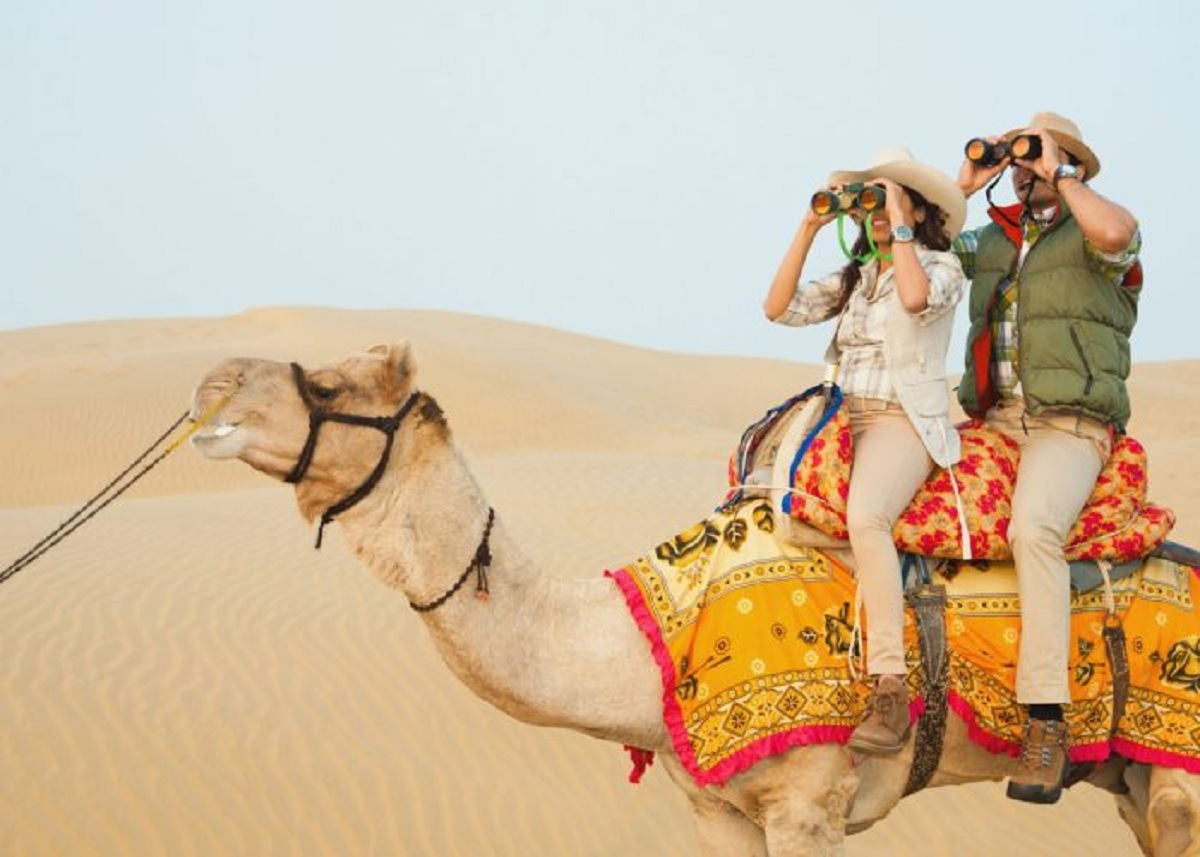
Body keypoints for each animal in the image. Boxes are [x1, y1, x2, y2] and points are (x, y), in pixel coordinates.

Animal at [189, 341, 1200, 856]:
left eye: (323, 381)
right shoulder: (718, 810)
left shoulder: (809, 800)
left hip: (1179, 771)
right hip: (1129, 776)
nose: (211, 381)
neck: (647, 644)